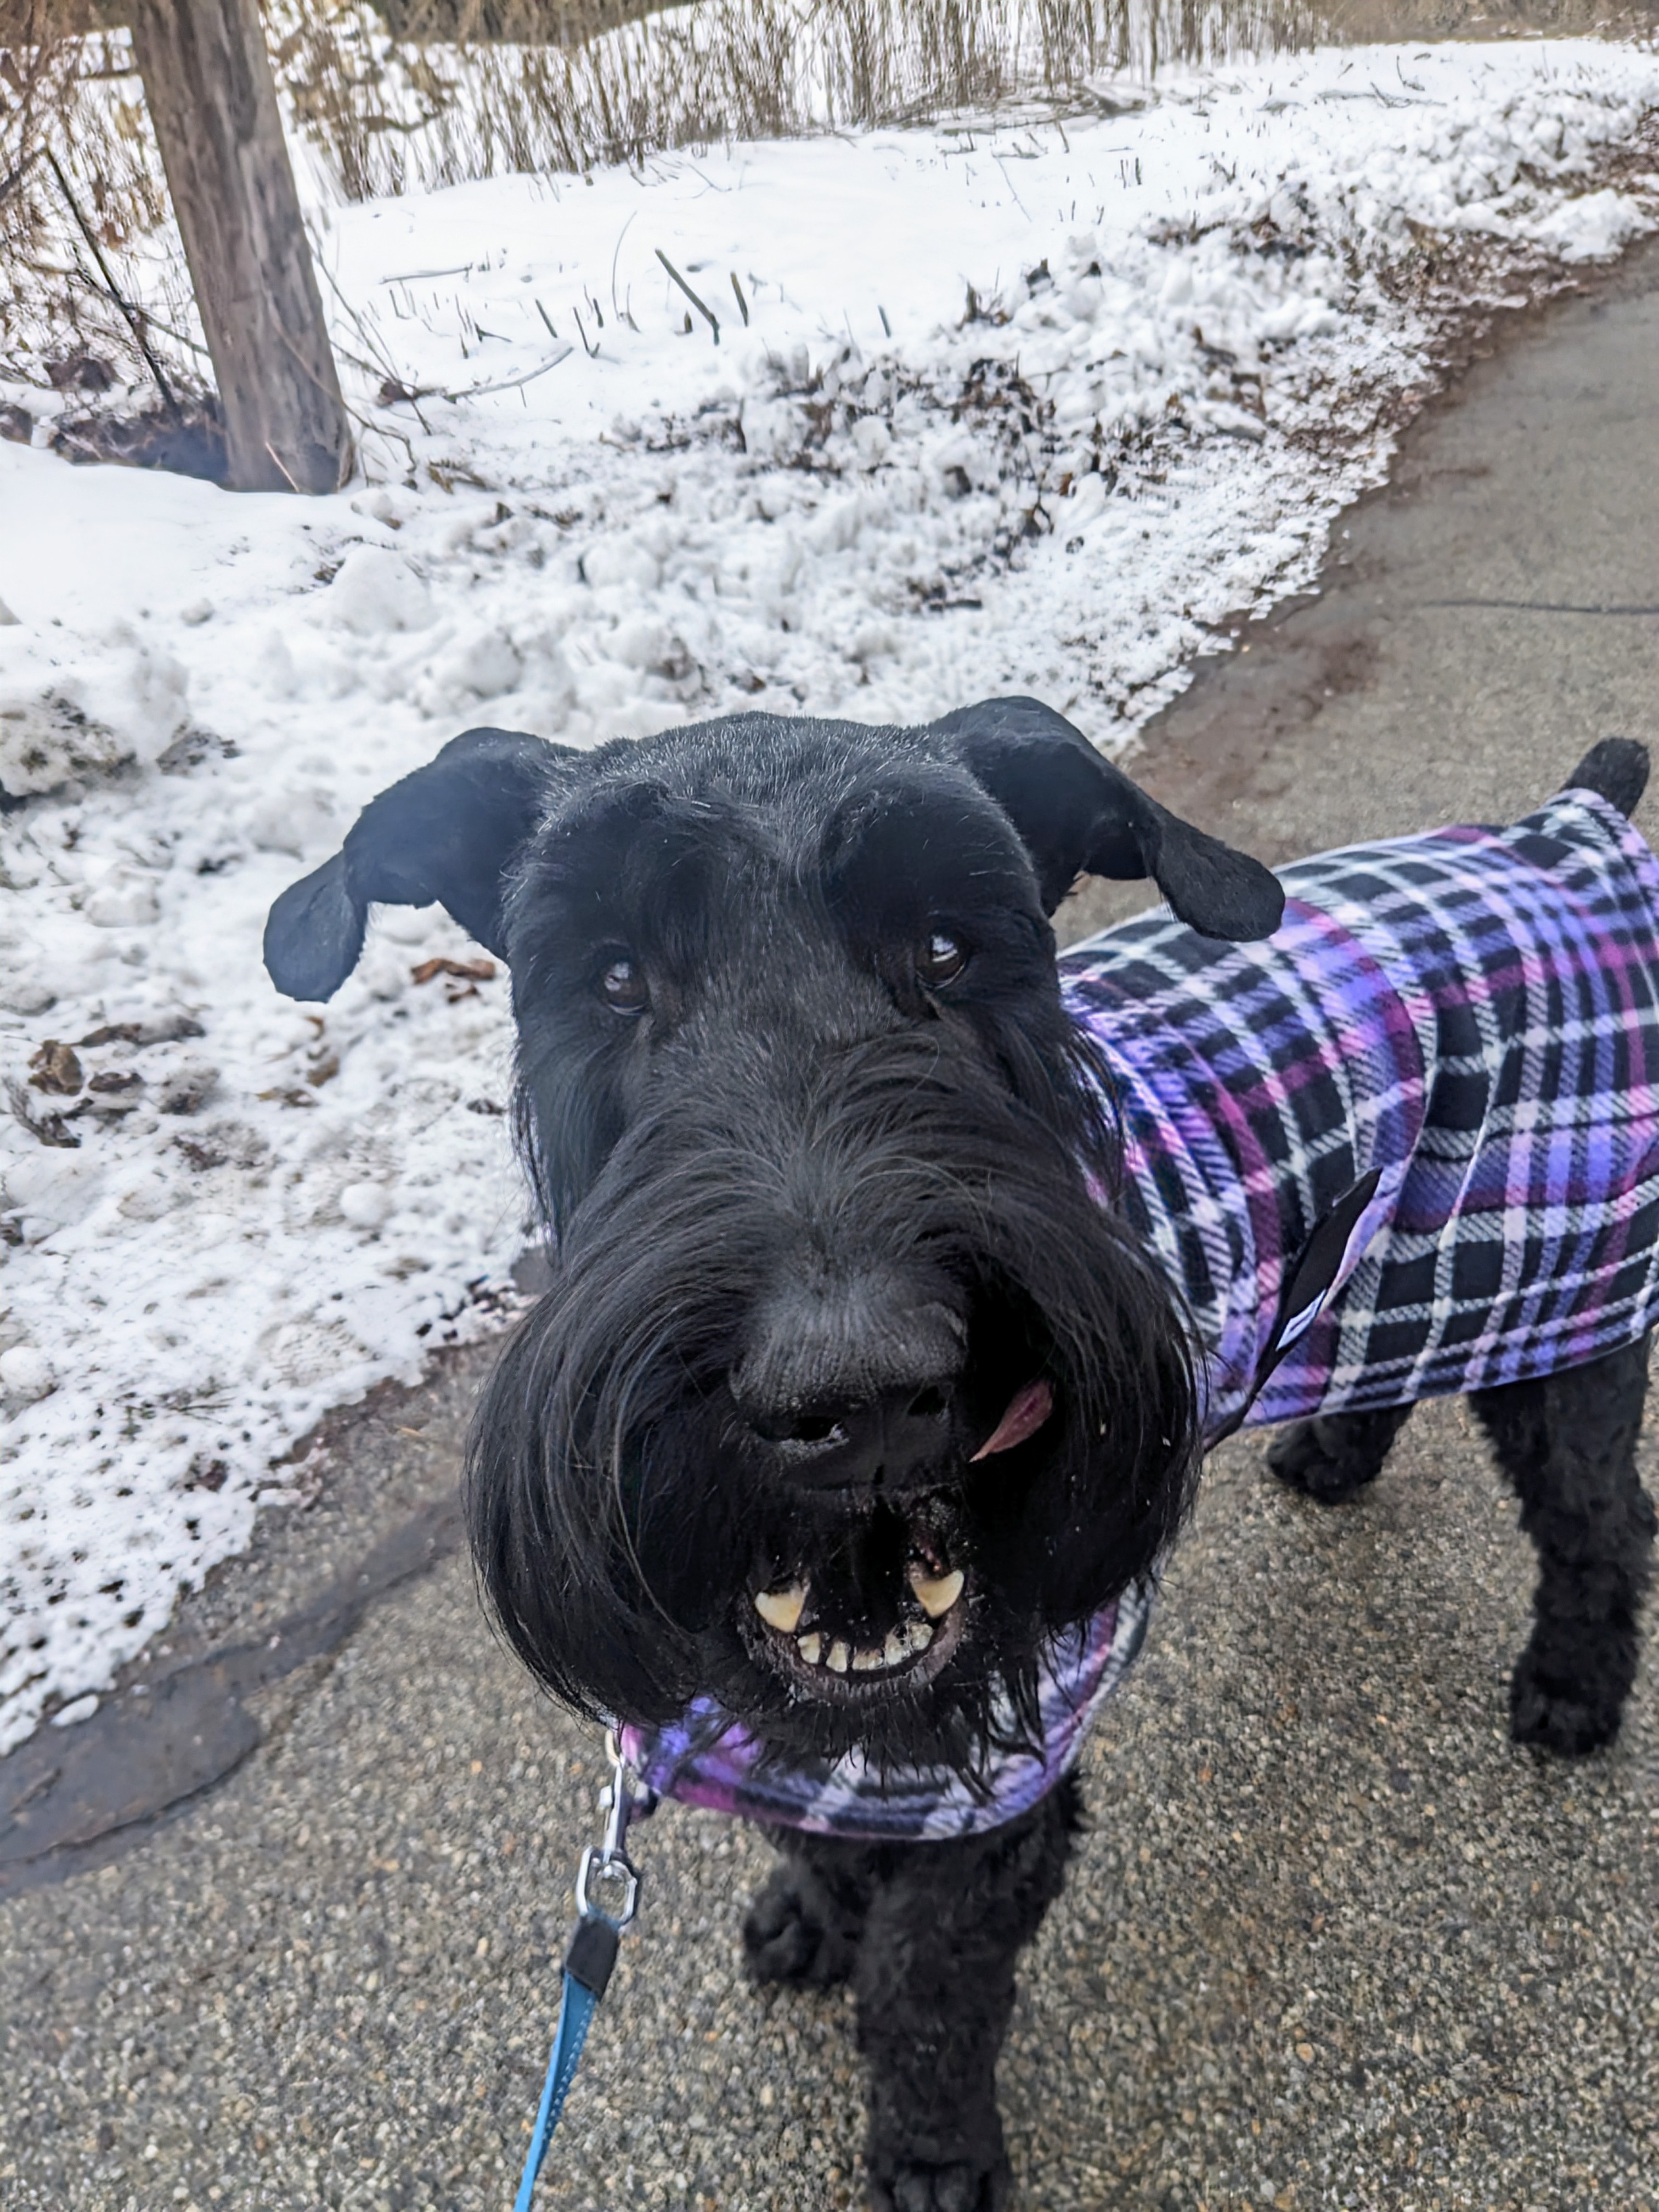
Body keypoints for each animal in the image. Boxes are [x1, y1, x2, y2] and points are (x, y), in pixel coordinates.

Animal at [266, 699, 1658, 2212]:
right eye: (615, 975)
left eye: (946, 948)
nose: (862, 1390)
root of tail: (1564, 832)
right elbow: (816, 1844)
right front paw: (811, 1919)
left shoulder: (990, 1791)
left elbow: (927, 1989)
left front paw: (932, 2155)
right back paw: (1341, 1450)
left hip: (1571, 1321)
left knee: (1600, 1518)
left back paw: (1571, 1690)